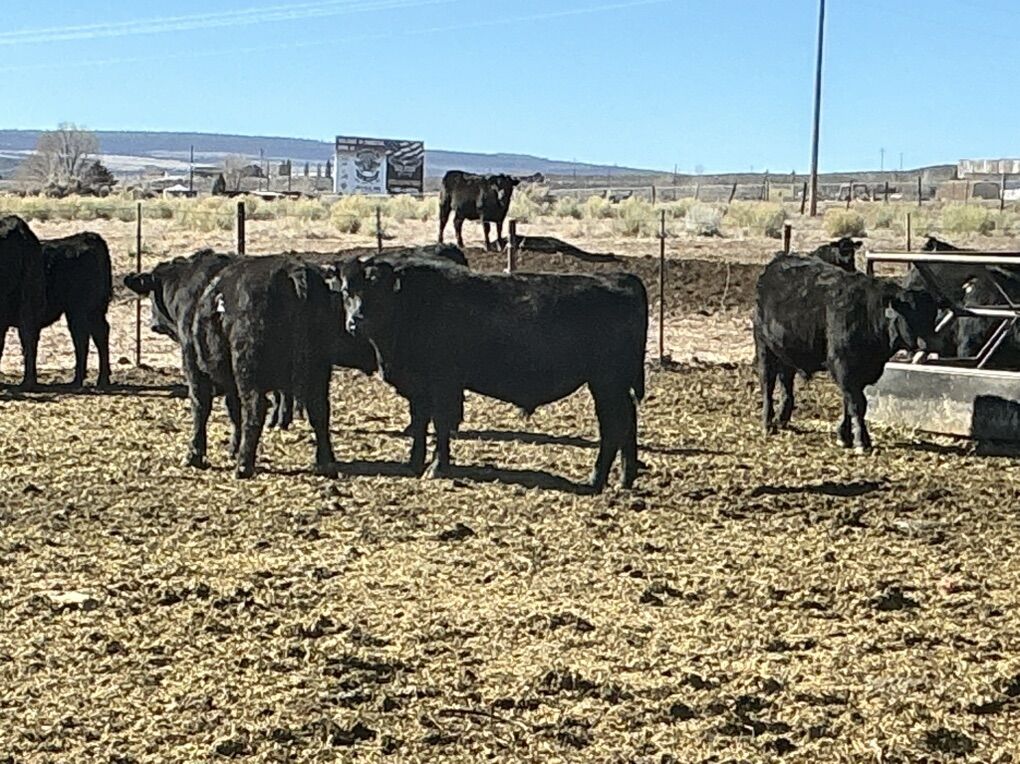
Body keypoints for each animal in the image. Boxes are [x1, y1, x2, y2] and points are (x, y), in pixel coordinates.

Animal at [40, 232, 113, 387]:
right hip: (91, 310)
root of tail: (86, 237)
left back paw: (82, 380)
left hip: (79, 309)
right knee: (98, 333)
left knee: (83, 337)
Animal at [339, 254, 648, 491]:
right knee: (628, 422)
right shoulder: (419, 387)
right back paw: (625, 478)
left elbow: (440, 424)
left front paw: (436, 467)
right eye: (346, 292)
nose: (355, 321)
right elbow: (419, 423)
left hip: (606, 383)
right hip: (614, 386)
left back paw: (595, 480)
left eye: (378, 290)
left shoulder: (443, 384)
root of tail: (620, 278)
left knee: (614, 425)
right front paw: (413, 463)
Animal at [754, 254, 938, 451]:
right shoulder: (843, 365)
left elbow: (848, 402)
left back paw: (781, 419)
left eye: (932, 316)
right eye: (912, 316)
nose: (931, 342)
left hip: (786, 352)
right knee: (767, 384)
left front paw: (844, 435)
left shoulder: (858, 372)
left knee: (786, 385)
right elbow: (857, 403)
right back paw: (767, 423)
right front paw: (861, 441)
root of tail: (777, 262)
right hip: (764, 348)